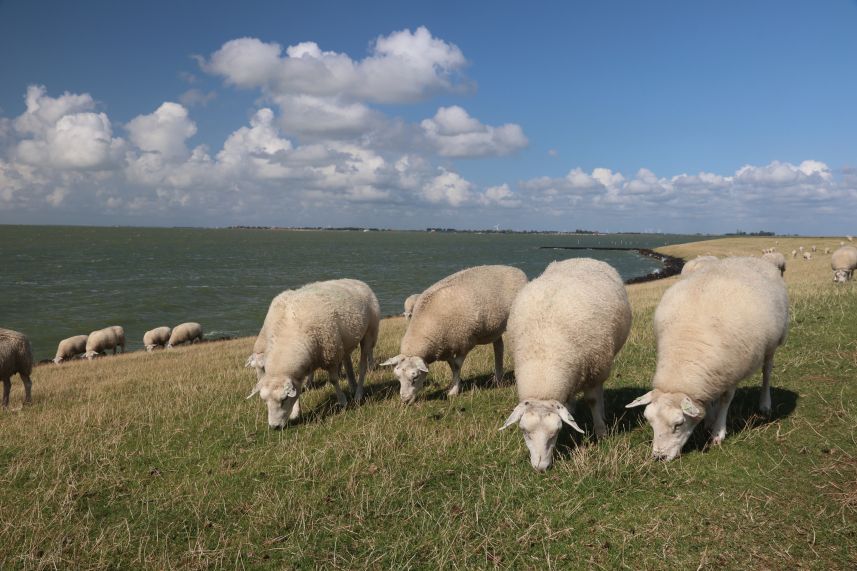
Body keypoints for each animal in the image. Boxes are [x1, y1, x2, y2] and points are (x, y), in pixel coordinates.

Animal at [247, 280, 382, 432]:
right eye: (265, 401)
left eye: (283, 399)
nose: (274, 427)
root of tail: (358, 281)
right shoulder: (302, 367)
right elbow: (298, 388)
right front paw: (295, 413)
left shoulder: (331, 354)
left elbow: (333, 380)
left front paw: (342, 401)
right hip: (344, 342)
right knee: (348, 362)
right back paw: (352, 386)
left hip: (369, 333)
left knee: (363, 365)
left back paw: (358, 394)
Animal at [382, 266, 528, 404]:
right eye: (398, 377)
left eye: (415, 377)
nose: (405, 400)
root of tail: (515, 269)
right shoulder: (445, 347)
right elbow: (452, 366)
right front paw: (455, 384)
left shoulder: (464, 342)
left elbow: (457, 366)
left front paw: (454, 390)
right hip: (495, 327)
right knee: (498, 347)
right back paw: (498, 379)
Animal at [498, 260, 632, 474]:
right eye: (525, 432)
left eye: (555, 433)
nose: (541, 467)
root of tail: (581, 258)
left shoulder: (594, 369)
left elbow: (593, 400)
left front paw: (601, 432)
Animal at [620, 256, 788, 462]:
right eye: (650, 422)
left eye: (678, 424)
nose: (659, 457)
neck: (686, 348)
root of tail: (757, 258)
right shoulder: (712, 373)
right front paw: (709, 419)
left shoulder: (732, 370)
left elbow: (726, 399)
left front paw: (718, 432)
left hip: (772, 344)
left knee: (767, 372)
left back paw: (765, 404)